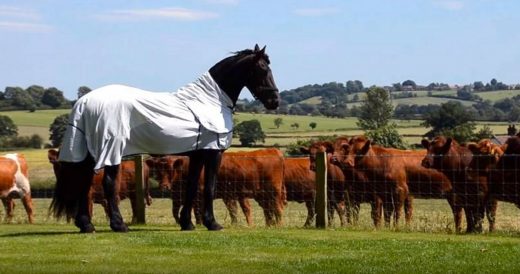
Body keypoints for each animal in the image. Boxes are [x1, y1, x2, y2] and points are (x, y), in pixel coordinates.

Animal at [49, 44, 280, 232]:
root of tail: (84, 102)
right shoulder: (213, 153)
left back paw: (86, 225)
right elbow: (210, 187)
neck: (210, 100)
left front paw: (187, 223)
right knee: (108, 183)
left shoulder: (197, 155)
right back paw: (118, 225)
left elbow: (191, 186)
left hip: (88, 153)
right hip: (111, 149)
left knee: (84, 182)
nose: (274, 101)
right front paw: (212, 223)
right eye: (262, 68)